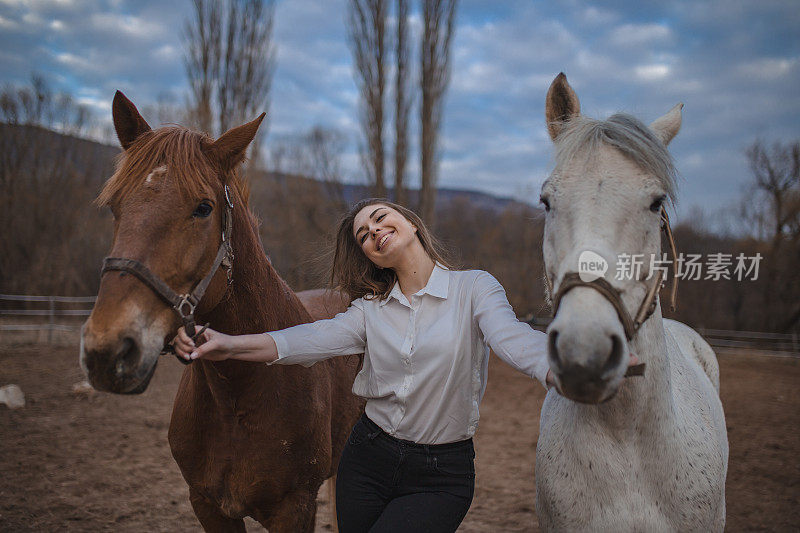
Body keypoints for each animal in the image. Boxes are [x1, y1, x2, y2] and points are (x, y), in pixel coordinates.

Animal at [80, 93, 362, 528]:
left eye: (203, 207)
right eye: (115, 205)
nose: (108, 351)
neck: (238, 396)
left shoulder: (295, 508)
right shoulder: (208, 505)